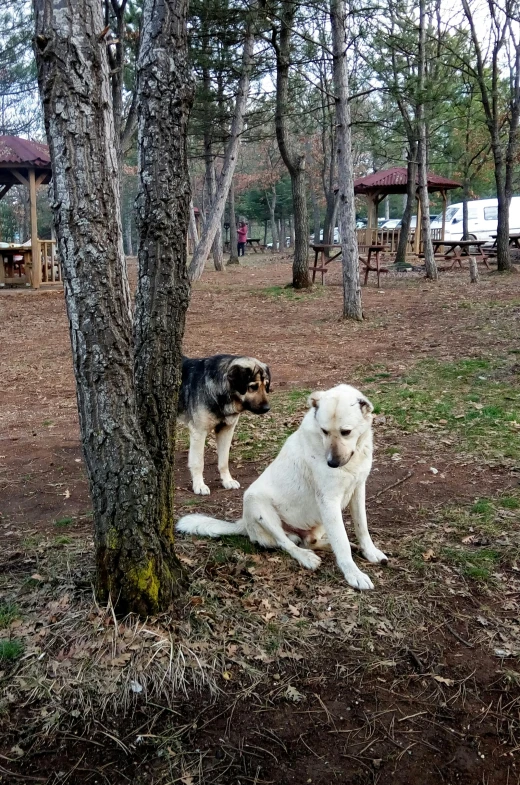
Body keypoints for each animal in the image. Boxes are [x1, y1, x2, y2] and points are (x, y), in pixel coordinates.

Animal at [177, 382, 388, 592]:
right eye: (324, 431)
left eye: (346, 432)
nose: (332, 463)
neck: (355, 455)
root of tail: (243, 524)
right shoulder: (329, 501)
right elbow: (341, 541)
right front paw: (354, 574)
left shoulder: (358, 490)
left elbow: (362, 527)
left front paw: (370, 552)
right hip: (257, 504)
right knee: (287, 544)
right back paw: (306, 557)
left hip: (318, 521)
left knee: (310, 541)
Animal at [179, 354, 270, 494]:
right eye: (253, 387)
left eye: (266, 386)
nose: (267, 408)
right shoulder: (198, 433)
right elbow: (198, 462)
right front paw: (199, 485)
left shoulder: (226, 431)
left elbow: (223, 461)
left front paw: (227, 481)